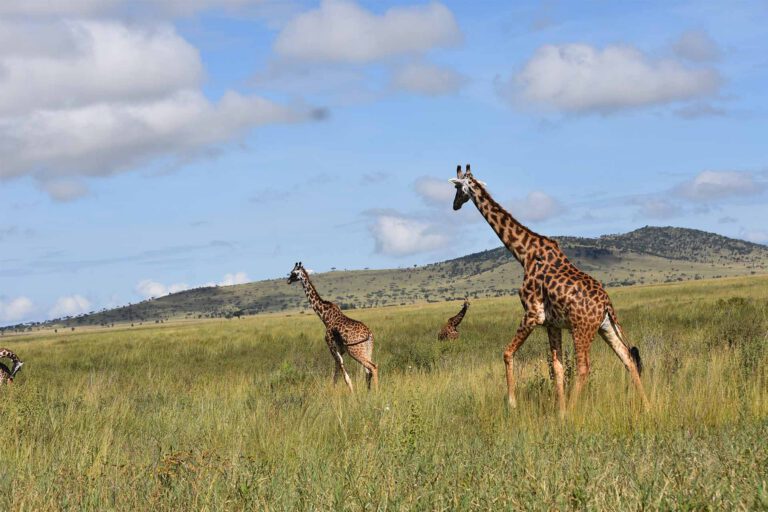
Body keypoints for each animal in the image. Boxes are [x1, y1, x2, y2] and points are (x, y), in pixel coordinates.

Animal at [288, 262, 378, 391]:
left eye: (294, 272)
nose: (288, 280)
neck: (325, 316)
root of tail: (369, 334)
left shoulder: (330, 344)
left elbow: (341, 369)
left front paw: (351, 390)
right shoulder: (340, 348)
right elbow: (337, 369)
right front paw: (335, 389)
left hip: (355, 350)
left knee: (373, 367)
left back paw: (377, 392)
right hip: (367, 349)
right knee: (368, 370)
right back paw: (369, 391)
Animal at [449, 164, 648, 413]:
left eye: (457, 189)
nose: (455, 205)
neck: (524, 254)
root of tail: (606, 304)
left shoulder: (532, 314)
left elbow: (507, 353)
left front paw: (512, 403)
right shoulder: (552, 324)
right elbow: (557, 368)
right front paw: (560, 412)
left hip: (581, 329)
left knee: (584, 367)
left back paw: (574, 409)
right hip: (605, 327)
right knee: (628, 358)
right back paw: (647, 406)